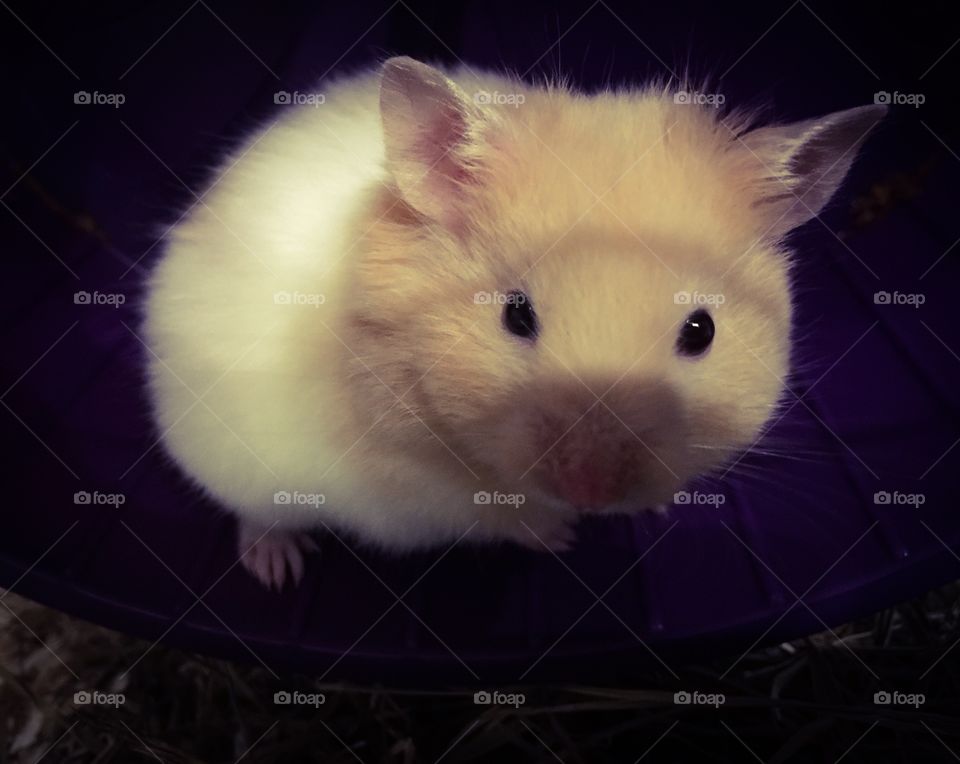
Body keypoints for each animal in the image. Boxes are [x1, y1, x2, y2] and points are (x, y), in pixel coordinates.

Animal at [143, 56, 885, 589]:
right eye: (515, 315)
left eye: (700, 331)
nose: (591, 492)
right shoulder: (420, 489)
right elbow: (499, 513)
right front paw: (562, 537)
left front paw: (650, 507)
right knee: (252, 514)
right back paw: (276, 568)